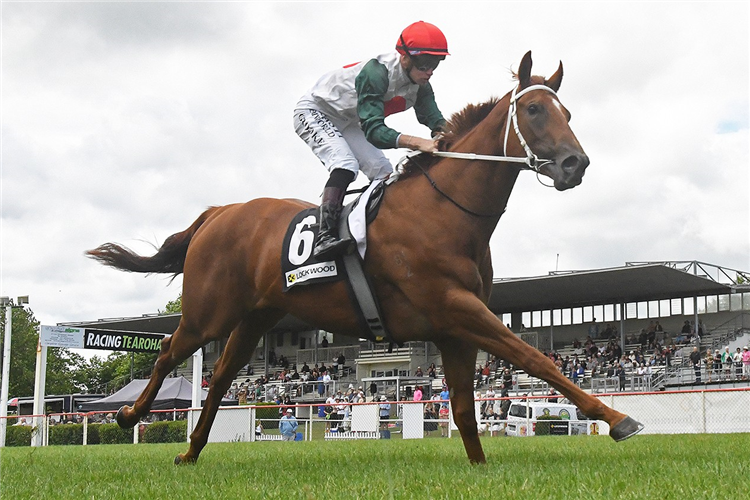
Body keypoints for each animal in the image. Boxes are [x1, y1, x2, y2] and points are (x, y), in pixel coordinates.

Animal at [86, 51, 640, 464]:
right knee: (167, 352)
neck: (445, 209)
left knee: (220, 378)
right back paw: (129, 416)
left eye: (568, 114)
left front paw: (481, 468)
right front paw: (618, 419)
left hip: (253, 318)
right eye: (534, 111)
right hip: (209, 313)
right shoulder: (456, 308)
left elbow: (464, 407)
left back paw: (191, 452)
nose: (575, 163)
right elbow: (534, 358)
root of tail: (220, 213)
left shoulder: (454, 328)